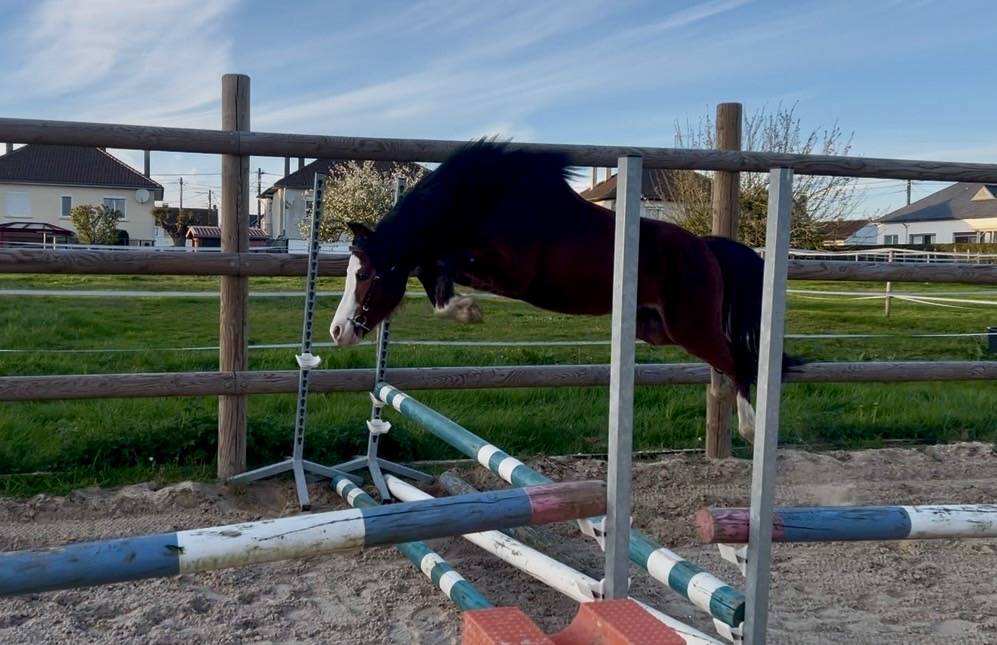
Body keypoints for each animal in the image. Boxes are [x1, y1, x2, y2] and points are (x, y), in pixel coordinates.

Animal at [329, 141, 794, 442]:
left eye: (365, 274)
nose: (338, 332)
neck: (483, 201)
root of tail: (706, 247)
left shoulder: (511, 272)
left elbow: (442, 262)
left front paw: (467, 310)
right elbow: (432, 268)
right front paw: (462, 309)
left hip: (691, 327)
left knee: (738, 360)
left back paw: (750, 427)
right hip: (657, 330)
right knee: (727, 361)